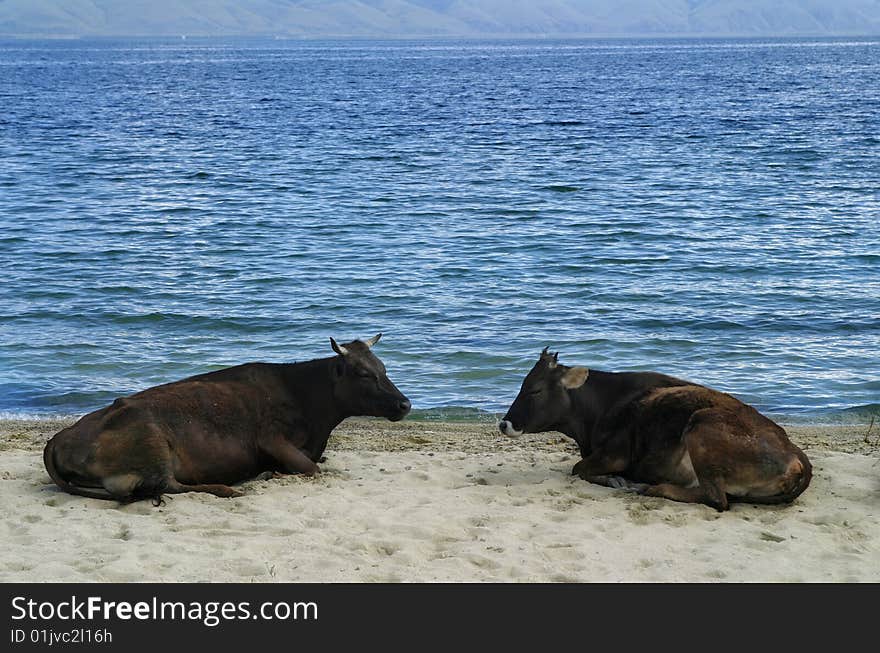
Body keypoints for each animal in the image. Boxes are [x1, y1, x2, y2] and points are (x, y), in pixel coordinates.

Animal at [43, 334, 410, 502]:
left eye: (383, 368)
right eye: (364, 373)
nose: (405, 404)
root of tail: (59, 437)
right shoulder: (270, 437)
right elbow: (312, 468)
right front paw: (274, 473)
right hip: (152, 440)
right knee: (170, 485)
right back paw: (231, 487)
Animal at [502, 348, 812, 512]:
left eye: (535, 389)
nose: (504, 423)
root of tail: (797, 457)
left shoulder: (615, 454)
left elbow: (578, 468)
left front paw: (616, 480)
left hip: (701, 427)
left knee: (716, 498)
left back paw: (647, 487)